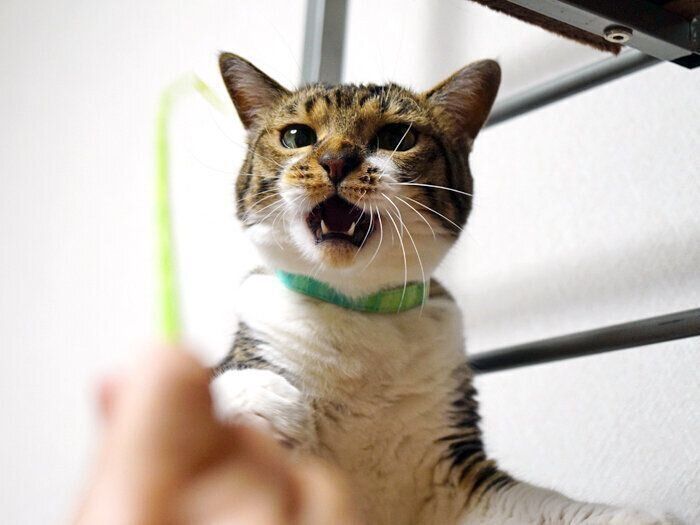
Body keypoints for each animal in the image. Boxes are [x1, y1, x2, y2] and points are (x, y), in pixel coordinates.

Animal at [210, 52, 674, 525]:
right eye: (296, 136)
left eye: (396, 137)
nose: (337, 160)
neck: (358, 309)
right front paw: (259, 399)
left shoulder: (453, 476)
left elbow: (546, 508)